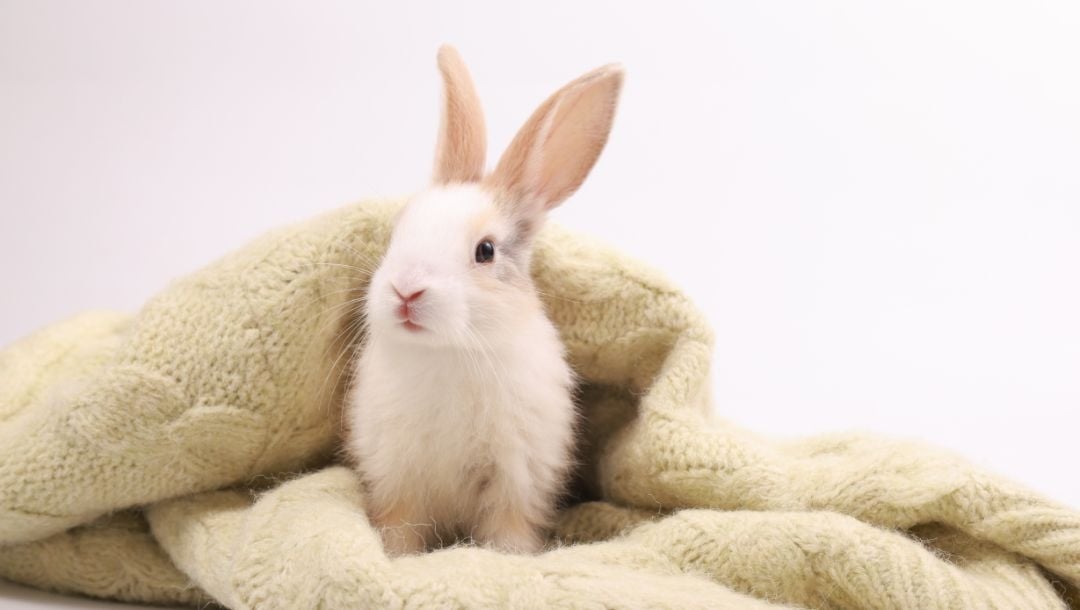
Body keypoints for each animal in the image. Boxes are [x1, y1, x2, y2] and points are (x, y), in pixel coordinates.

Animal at [345, 45, 626, 552]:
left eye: (486, 251)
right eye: (398, 228)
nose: (406, 290)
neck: (449, 351)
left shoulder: (515, 479)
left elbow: (506, 532)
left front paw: (508, 558)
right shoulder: (399, 481)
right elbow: (400, 528)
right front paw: (395, 557)